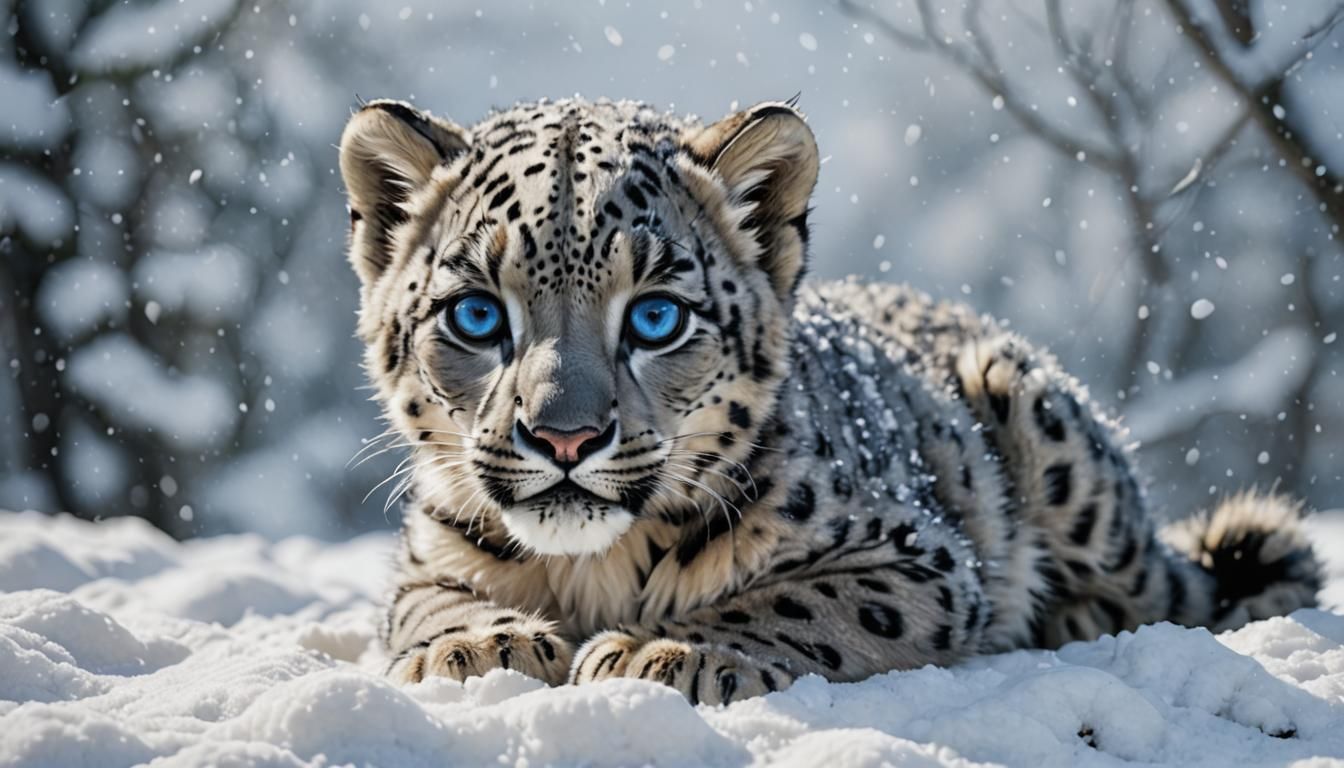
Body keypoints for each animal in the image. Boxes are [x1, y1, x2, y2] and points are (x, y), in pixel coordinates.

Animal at [337, 96, 1322, 705]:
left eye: (656, 315)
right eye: (476, 312)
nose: (565, 438)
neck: (592, 571)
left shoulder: (915, 554)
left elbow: (798, 604)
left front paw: (668, 650)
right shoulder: (426, 549)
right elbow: (422, 601)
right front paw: (479, 645)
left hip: (1052, 440)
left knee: (1167, 585)